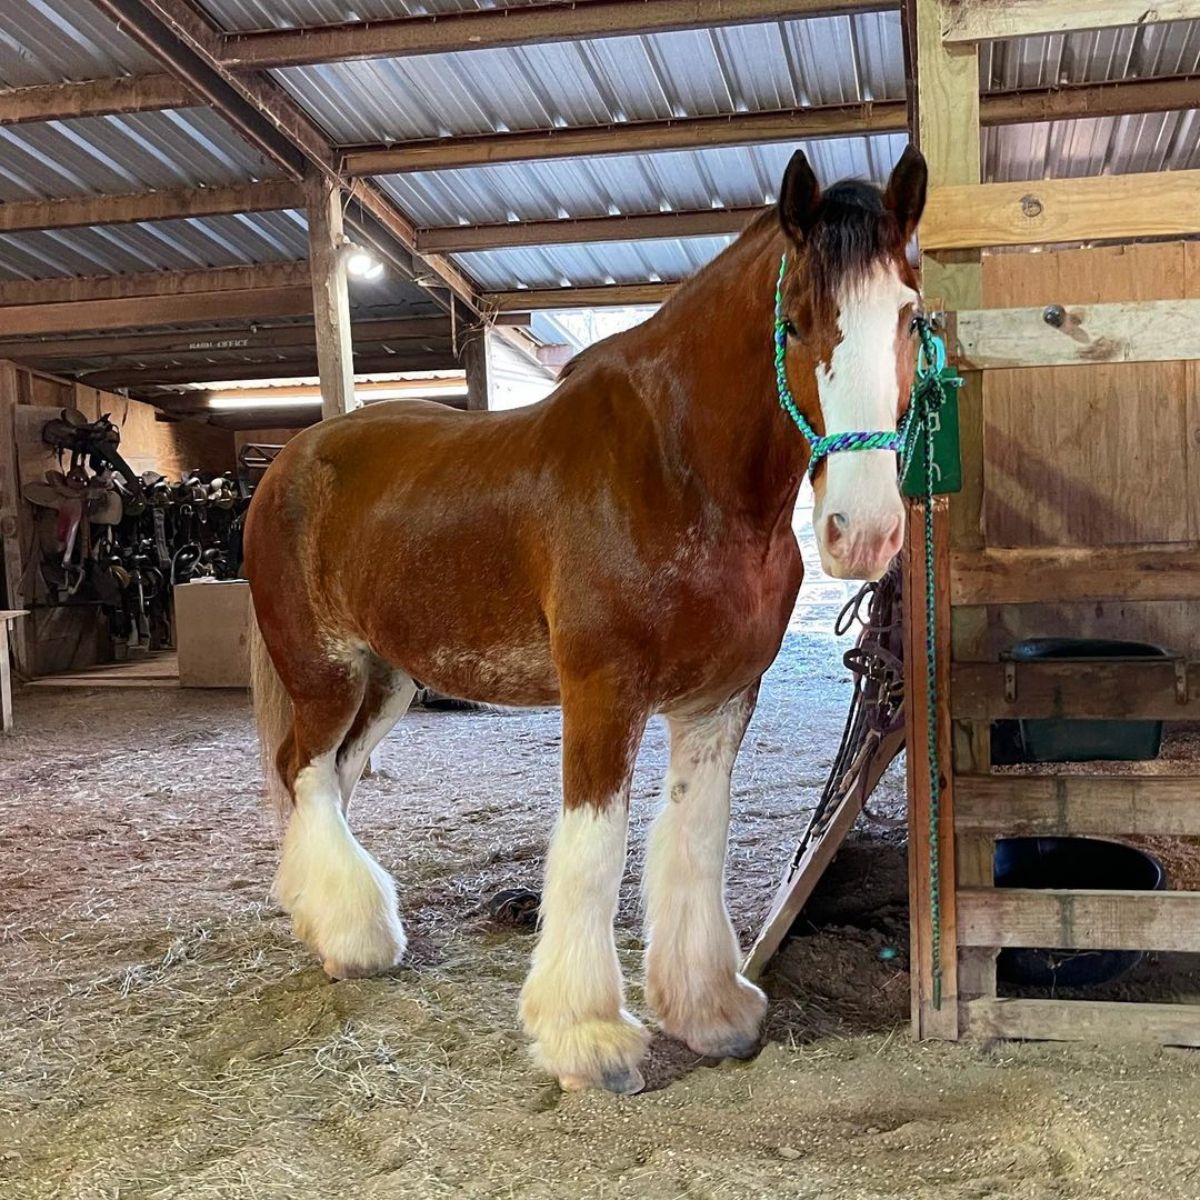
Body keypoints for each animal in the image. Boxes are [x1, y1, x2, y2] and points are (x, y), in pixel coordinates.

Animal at [246, 147, 926, 1099]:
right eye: (794, 324)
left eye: (910, 317)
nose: (862, 533)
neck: (681, 471)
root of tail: (287, 464)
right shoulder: (604, 693)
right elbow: (594, 853)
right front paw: (588, 1040)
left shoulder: (721, 699)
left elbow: (694, 844)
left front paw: (710, 1012)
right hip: (326, 672)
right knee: (302, 773)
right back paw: (353, 941)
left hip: (388, 682)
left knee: (331, 781)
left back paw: (322, 915)